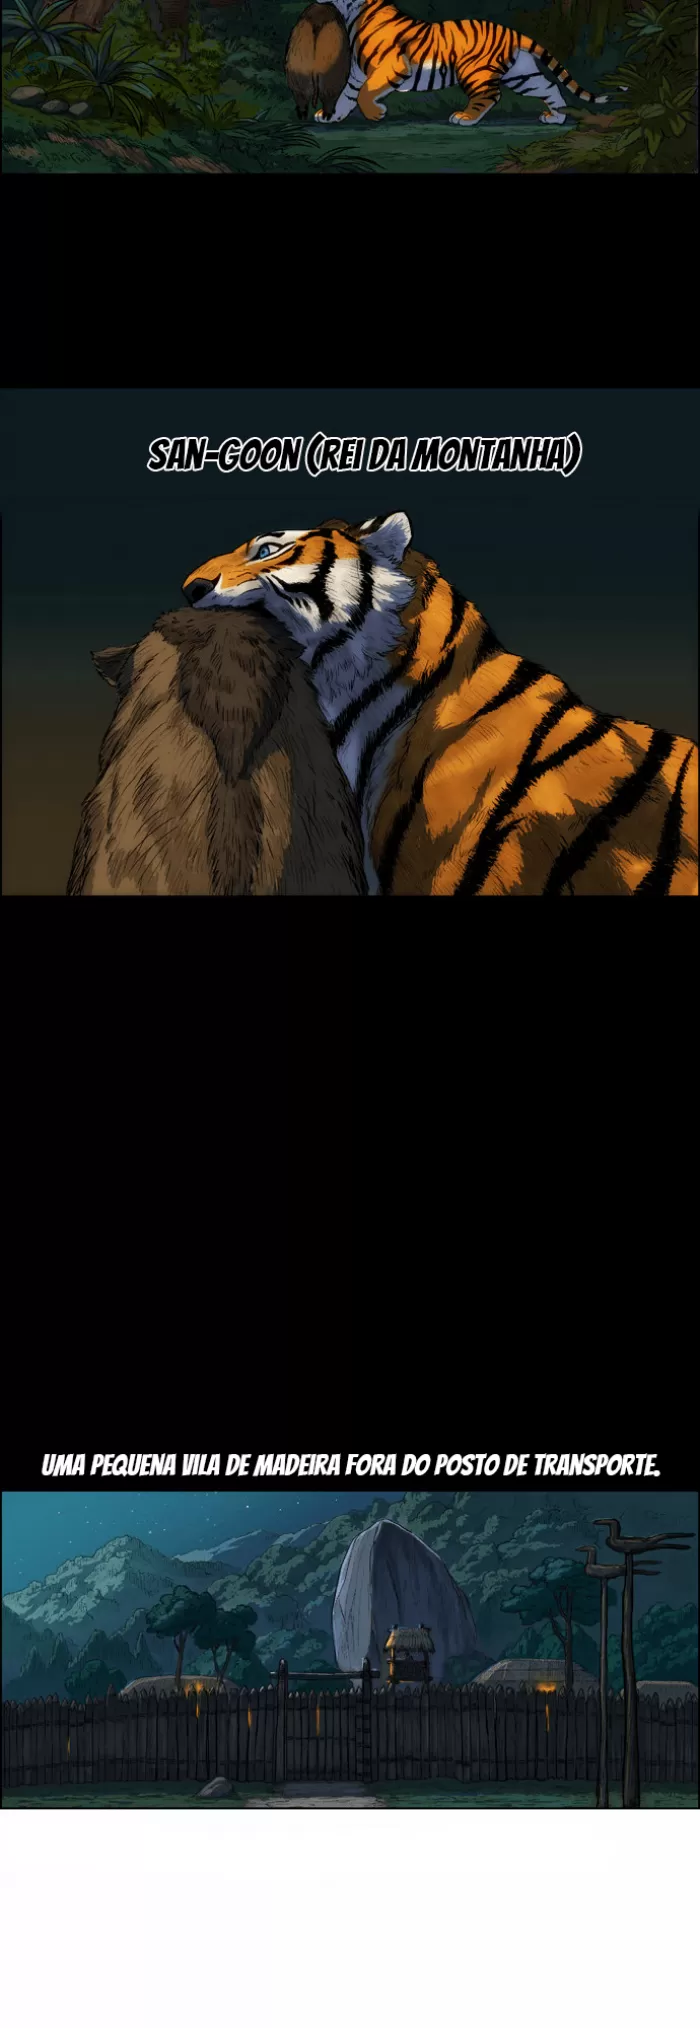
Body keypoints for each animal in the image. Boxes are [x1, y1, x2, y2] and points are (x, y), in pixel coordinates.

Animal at [310, 0, 614, 125]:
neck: (351, 13)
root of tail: (513, 32)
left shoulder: (391, 67)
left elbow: (365, 94)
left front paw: (376, 114)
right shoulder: (357, 73)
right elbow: (348, 95)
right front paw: (330, 117)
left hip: (475, 71)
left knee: (489, 95)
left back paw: (465, 118)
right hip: (522, 75)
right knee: (550, 88)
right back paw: (557, 117)